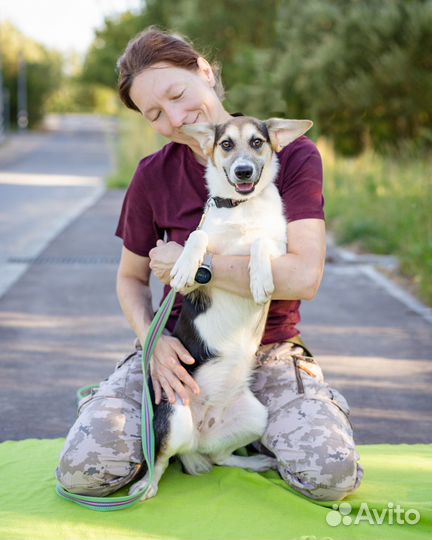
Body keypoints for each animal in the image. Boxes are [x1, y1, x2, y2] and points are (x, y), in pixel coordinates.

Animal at [130, 116, 312, 500]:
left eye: (257, 142)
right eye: (226, 144)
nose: (243, 172)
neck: (240, 209)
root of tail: (199, 435)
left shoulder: (281, 249)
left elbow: (260, 242)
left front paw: (260, 279)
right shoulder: (202, 251)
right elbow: (197, 237)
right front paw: (185, 265)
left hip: (256, 417)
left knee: (221, 457)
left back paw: (256, 462)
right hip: (173, 416)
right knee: (164, 459)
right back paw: (146, 486)